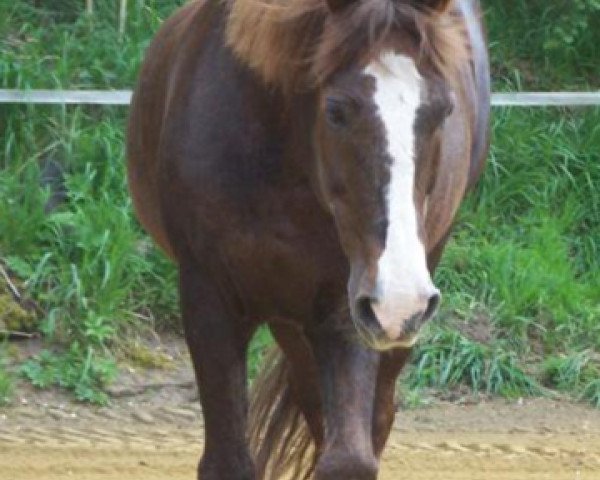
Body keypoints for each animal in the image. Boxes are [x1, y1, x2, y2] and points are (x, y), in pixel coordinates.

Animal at [129, 0, 490, 478]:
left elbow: (350, 457)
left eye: (444, 110)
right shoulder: (209, 299)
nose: (401, 299)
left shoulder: (348, 306)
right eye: (336, 109)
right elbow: (229, 461)